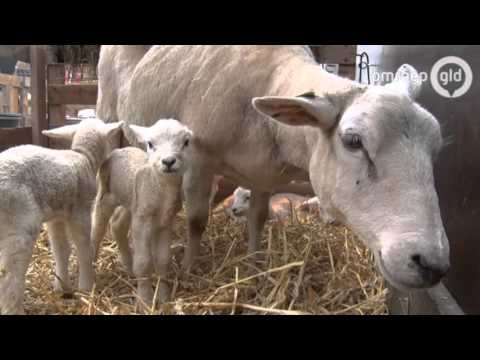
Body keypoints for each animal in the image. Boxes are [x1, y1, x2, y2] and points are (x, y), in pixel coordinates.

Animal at [0, 119, 123, 316]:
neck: (83, 156)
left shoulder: (56, 217)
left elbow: (61, 250)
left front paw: (62, 287)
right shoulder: (80, 212)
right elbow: (83, 249)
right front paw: (86, 287)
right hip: (20, 224)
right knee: (10, 277)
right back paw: (14, 309)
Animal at [91, 119, 192, 308]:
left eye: (186, 142)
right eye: (150, 144)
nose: (168, 161)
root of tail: (119, 150)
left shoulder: (164, 220)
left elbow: (163, 260)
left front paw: (163, 297)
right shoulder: (142, 220)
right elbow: (144, 262)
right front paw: (144, 301)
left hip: (131, 202)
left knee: (117, 224)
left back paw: (129, 267)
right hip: (106, 194)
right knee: (98, 226)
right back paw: (90, 264)